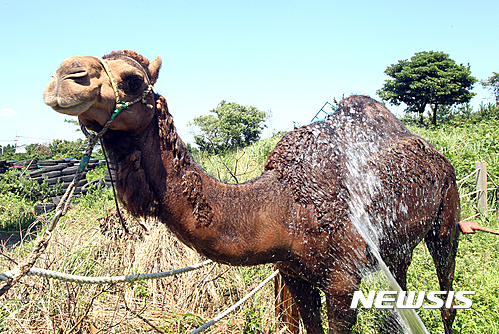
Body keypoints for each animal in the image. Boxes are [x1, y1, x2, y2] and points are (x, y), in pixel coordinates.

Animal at [44, 50, 460, 334]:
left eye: (132, 79)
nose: (63, 77)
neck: (282, 206)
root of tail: (436, 153)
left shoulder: (343, 281)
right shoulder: (294, 275)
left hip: (447, 214)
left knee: (446, 296)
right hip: (396, 245)